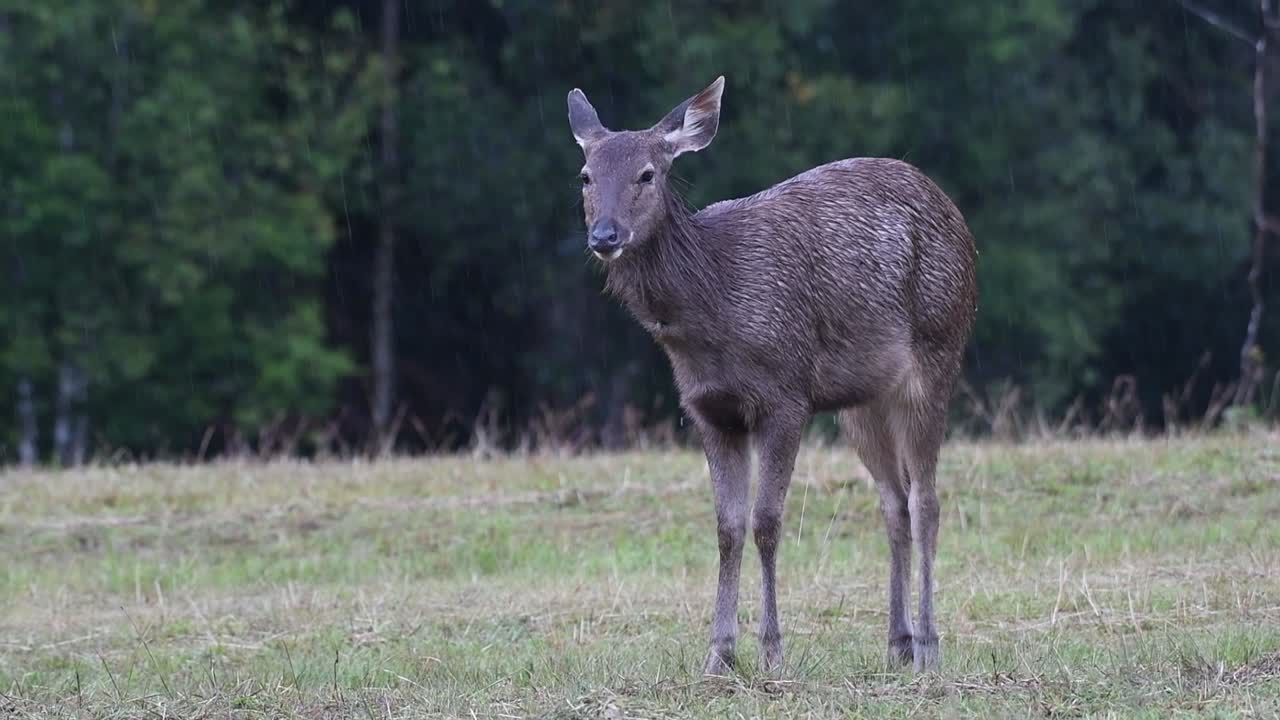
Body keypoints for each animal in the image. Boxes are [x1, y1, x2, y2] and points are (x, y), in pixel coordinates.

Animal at [566, 76, 977, 676]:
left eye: (647, 173)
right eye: (586, 175)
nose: (605, 235)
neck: (712, 308)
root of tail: (957, 217)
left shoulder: (786, 394)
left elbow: (766, 522)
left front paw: (772, 651)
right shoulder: (707, 409)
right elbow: (727, 526)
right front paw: (717, 654)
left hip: (938, 352)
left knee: (926, 501)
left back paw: (927, 645)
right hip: (861, 401)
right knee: (894, 502)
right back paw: (896, 642)